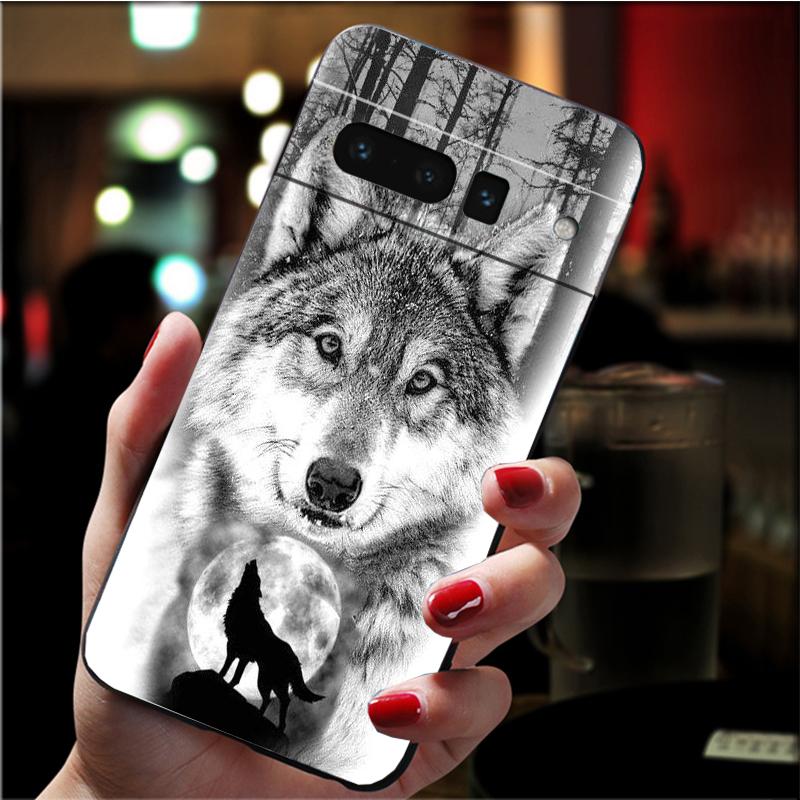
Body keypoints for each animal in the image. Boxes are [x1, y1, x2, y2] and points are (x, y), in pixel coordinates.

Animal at [220, 559, 324, 732]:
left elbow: (234, 676)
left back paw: (278, 726)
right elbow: (226, 669)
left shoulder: (242, 654)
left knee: (283, 700)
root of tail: (296, 660)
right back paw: (264, 717)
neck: (246, 604)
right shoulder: (233, 648)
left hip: (268, 681)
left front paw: (226, 684)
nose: (254, 560)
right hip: (267, 681)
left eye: (256, 577)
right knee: (272, 699)